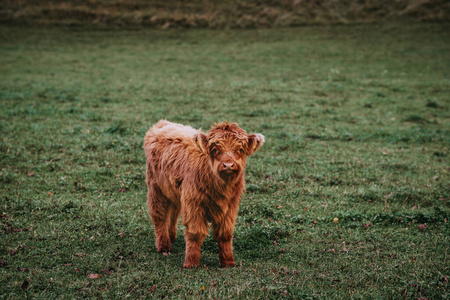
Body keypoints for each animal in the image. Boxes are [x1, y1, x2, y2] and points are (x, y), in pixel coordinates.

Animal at [143, 119, 264, 268]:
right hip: (156, 188)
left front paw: (228, 261)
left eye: (240, 150)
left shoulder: (231, 206)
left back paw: (171, 236)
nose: (228, 165)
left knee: (173, 212)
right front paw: (191, 262)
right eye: (215, 149)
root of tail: (163, 123)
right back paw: (164, 246)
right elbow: (195, 233)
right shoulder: (193, 204)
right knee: (159, 215)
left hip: (173, 191)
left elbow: (225, 233)